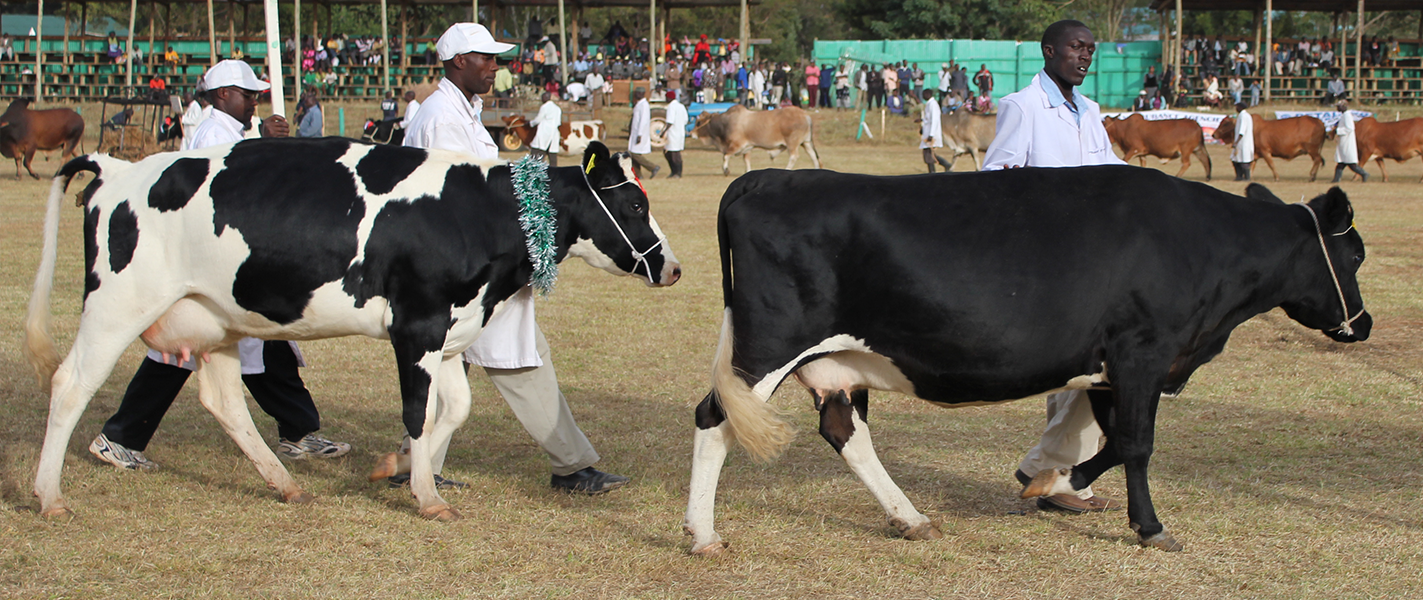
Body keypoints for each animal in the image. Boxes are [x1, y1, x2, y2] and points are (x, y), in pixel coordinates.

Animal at [24, 139, 680, 521]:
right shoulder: (417, 324)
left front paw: (398, 468)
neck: (486, 211)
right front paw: (427, 496)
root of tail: (117, 168)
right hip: (118, 304)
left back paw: (285, 484)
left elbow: (455, 409)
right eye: (635, 206)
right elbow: (418, 412)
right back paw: (49, 496)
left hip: (216, 317)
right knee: (70, 383)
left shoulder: (450, 328)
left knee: (224, 401)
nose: (672, 267)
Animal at [683, 166, 1369, 556]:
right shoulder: (1144, 351)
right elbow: (1137, 443)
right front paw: (1146, 526)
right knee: (714, 420)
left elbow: (1114, 442)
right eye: (1357, 254)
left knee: (844, 431)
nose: (1361, 324)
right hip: (766, 347)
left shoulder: (1109, 367)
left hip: (834, 361)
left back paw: (911, 519)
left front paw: (1055, 484)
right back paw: (703, 535)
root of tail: (767, 176)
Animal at [691, 104, 821, 175]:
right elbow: (747, 161)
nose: (691, 133)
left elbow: (726, 156)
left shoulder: (737, 145)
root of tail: (805, 115)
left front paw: (726, 170)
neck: (726, 122)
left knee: (794, 157)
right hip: (806, 142)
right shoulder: (747, 148)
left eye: (698, 122)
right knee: (813, 155)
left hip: (792, 143)